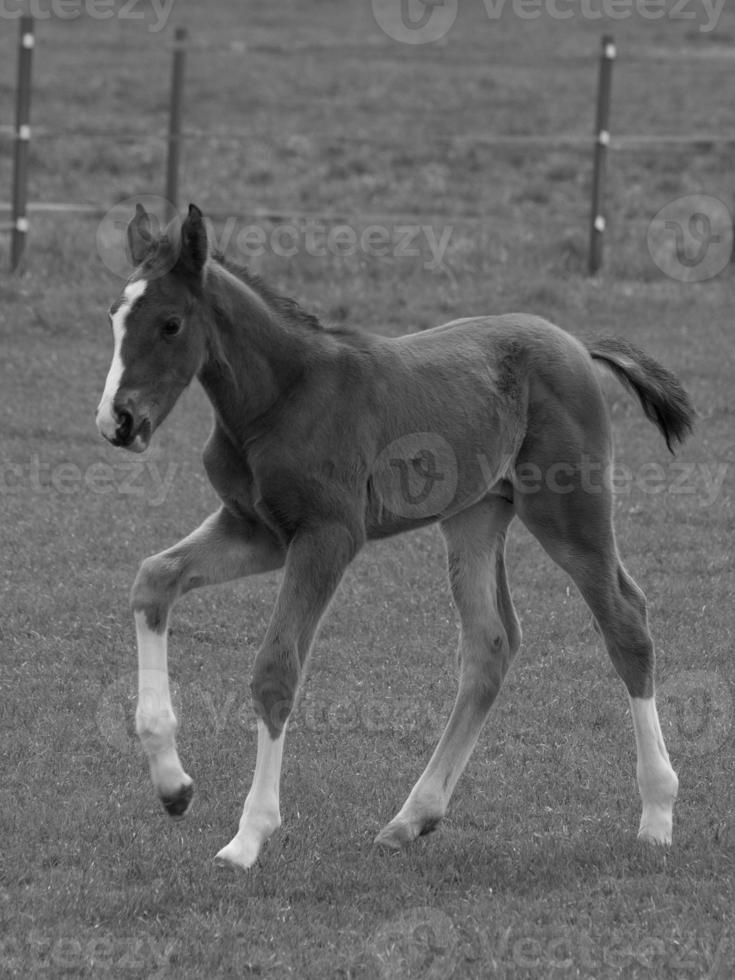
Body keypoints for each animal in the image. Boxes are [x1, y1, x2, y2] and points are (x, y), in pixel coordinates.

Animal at [96, 203, 696, 868]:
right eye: (114, 317)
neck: (281, 396)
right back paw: (413, 817)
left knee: (625, 621)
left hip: (569, 512)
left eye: (170, 323)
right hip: (475, 516)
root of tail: (578, 346)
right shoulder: (256, 530)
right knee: (491, 643)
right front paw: (173, 785)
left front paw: (249, 835)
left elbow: (276, 668)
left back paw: (657, 814)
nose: (118, 420)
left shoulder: (327, 535)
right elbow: (154, 578)